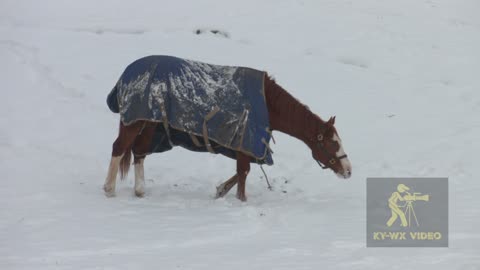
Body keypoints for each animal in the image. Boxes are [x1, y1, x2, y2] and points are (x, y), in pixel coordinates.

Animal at [104, 56, 352, 201]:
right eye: (332, 143)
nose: (348, 170)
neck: (269, 103)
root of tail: (127, 73)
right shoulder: (245, 138)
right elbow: (243, 173)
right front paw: (240, 201)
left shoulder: (245, 143)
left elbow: (241, 171)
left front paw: (221, 190)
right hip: (134, 122)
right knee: (119, 147)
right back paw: (109, 189)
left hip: (150, 123)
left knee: (139, 151)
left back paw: (139, 191)